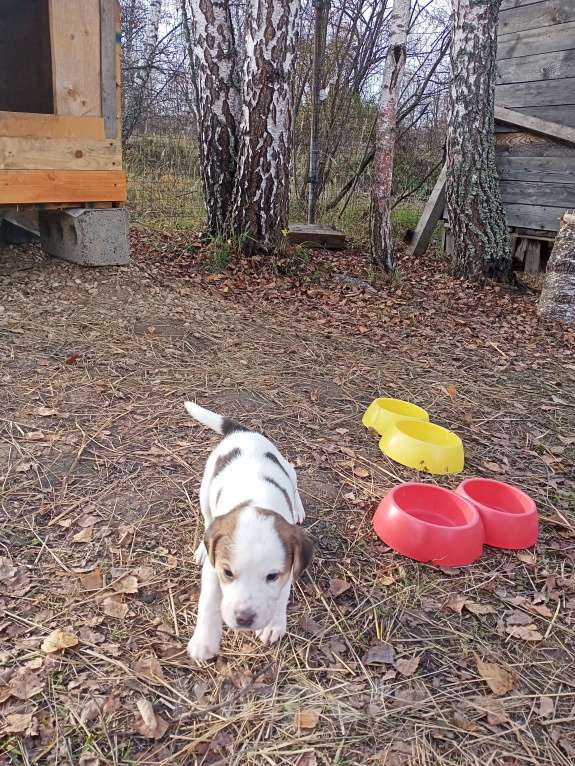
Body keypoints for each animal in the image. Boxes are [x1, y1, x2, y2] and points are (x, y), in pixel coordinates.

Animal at [186, 404, 316, 664]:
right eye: (228, 573)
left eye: (272, 576)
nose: (244, 619)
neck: (257, 501)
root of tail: (243, 432)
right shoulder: (214, 570)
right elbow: (208, 601)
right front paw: (204, 641)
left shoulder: (289, 569)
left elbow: (282, 595)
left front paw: (274, 624)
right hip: (205, 490)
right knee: (207, 519)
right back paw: (203, 548)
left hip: (290, 470)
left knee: (295, 487)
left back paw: (298, 507)